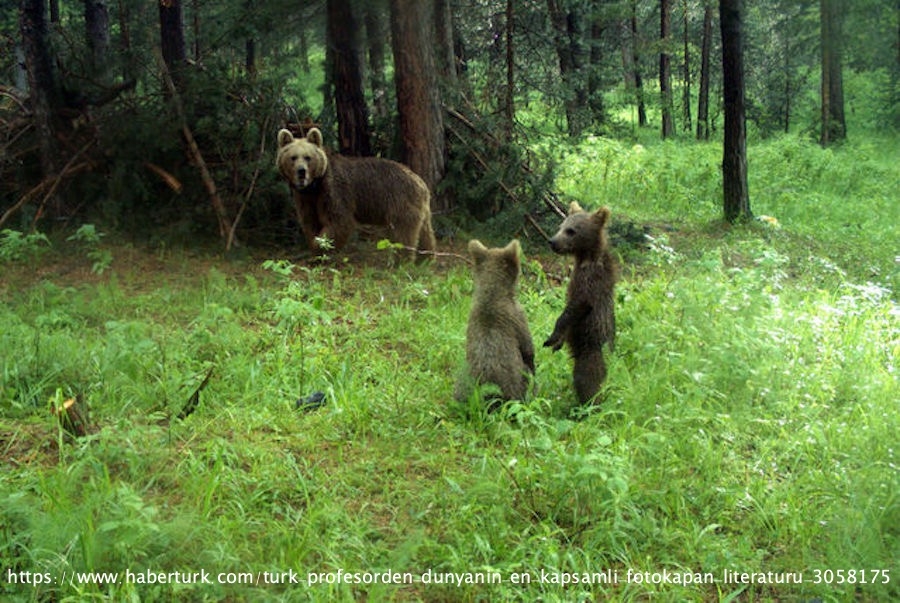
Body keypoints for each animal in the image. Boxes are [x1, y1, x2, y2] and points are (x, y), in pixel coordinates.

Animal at [278, 129, 440, 256]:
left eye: (308, 157)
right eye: (293, 157)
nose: (301, 171)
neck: (315, 185)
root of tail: (421, 183)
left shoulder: (334, 191)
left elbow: (338, 221)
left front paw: (322, 248)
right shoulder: (306, 198)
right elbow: (310, 221)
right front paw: (314, 246)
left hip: (400, 202)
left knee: (402, 234)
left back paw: (402, 260)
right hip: (420, 208)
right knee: (425, 232)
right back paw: (425, 258)